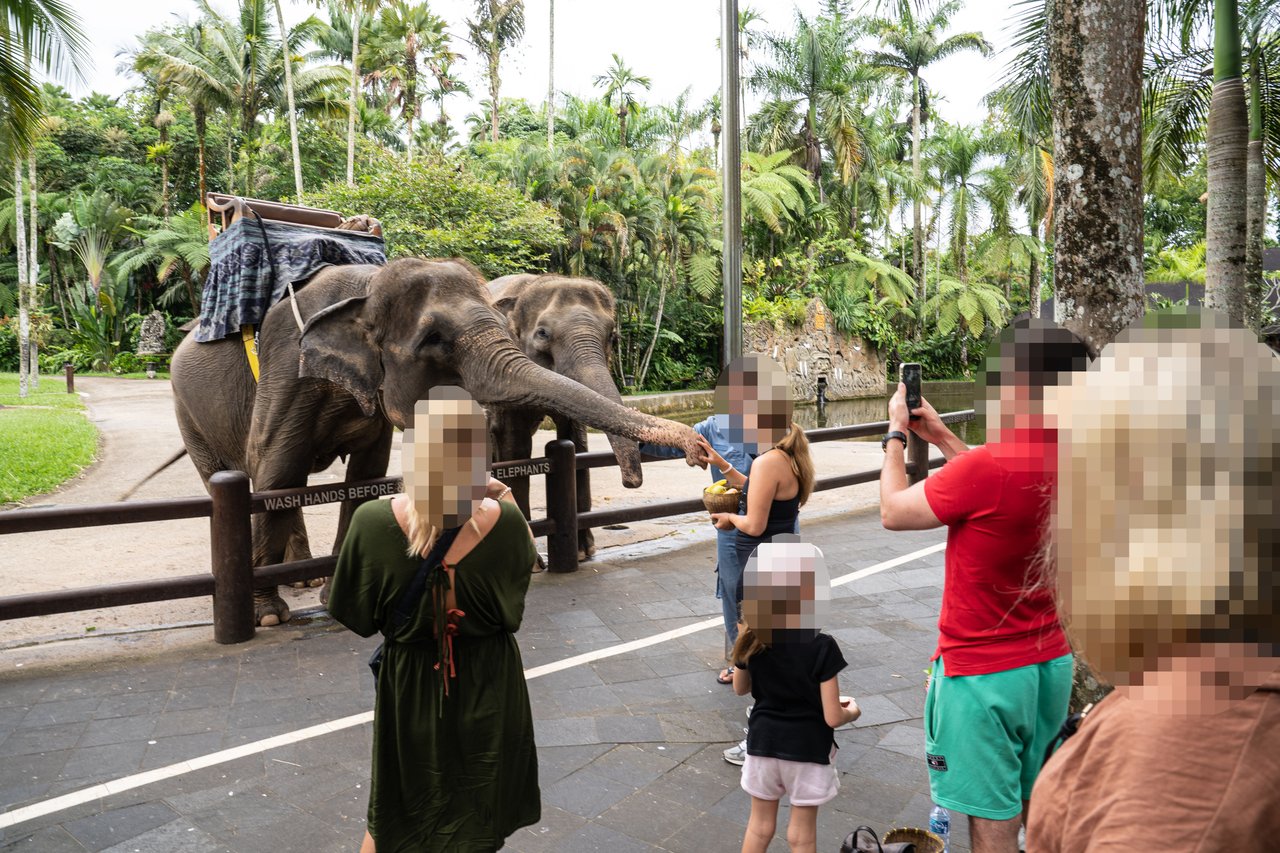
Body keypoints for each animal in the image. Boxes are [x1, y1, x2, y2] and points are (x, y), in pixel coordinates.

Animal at [168, 256, 701, 622]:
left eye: (614, 338)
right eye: (435, 340)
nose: (696, 451)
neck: (368, 287)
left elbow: (365, 476)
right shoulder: (287, 366)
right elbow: (275, 468)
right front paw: (271, 616)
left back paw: (309, 579)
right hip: (186, 408)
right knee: (251, 475)